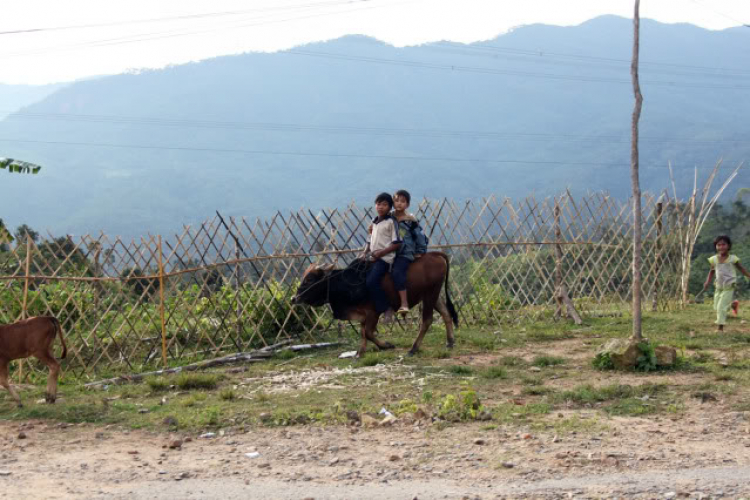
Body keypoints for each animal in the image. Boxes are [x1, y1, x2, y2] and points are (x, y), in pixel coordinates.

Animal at [292, 252, 458, 358]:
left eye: (310, 279)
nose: (294, 298)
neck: (348, 282)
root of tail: (437, 255)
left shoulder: (373, 312)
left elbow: (369, 333)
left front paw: (386, 345)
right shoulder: (362, 314)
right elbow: (363, 332)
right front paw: (360, 352)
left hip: (430, 294)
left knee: (427, 320)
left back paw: (413, 348)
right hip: (432, 295)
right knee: (446, 313)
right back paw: (450, 342)